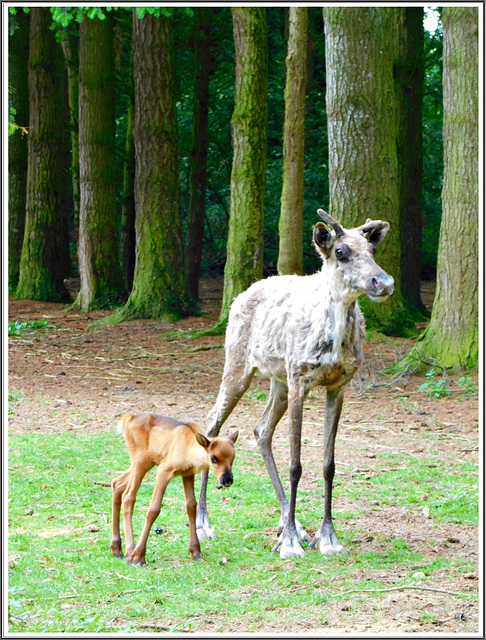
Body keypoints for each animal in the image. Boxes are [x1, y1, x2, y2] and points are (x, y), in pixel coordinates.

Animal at [110, 412, 239, 564]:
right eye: (213, 458)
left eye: (233, 457)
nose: (227, 480)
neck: (188, 448)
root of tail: (129, 419)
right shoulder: (164, 471)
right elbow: (154, 509)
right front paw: (139, 556)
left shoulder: (187, 474)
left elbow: (191, 506)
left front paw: (196, 551)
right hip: (141, 461)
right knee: (128, 496)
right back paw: (130, 552)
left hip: (145, 463)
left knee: (117, 483)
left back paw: (117, 549)